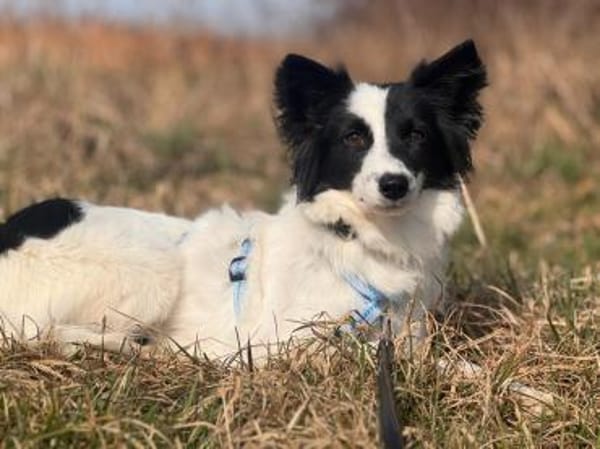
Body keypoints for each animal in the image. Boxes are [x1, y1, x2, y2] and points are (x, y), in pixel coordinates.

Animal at [0, 40, 487, 359]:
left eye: (416, 135)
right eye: (353, 138)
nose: (393, 184)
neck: (360, 238)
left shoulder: (405, 332)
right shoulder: (280, 344)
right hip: (153, 273)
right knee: (50, 333)